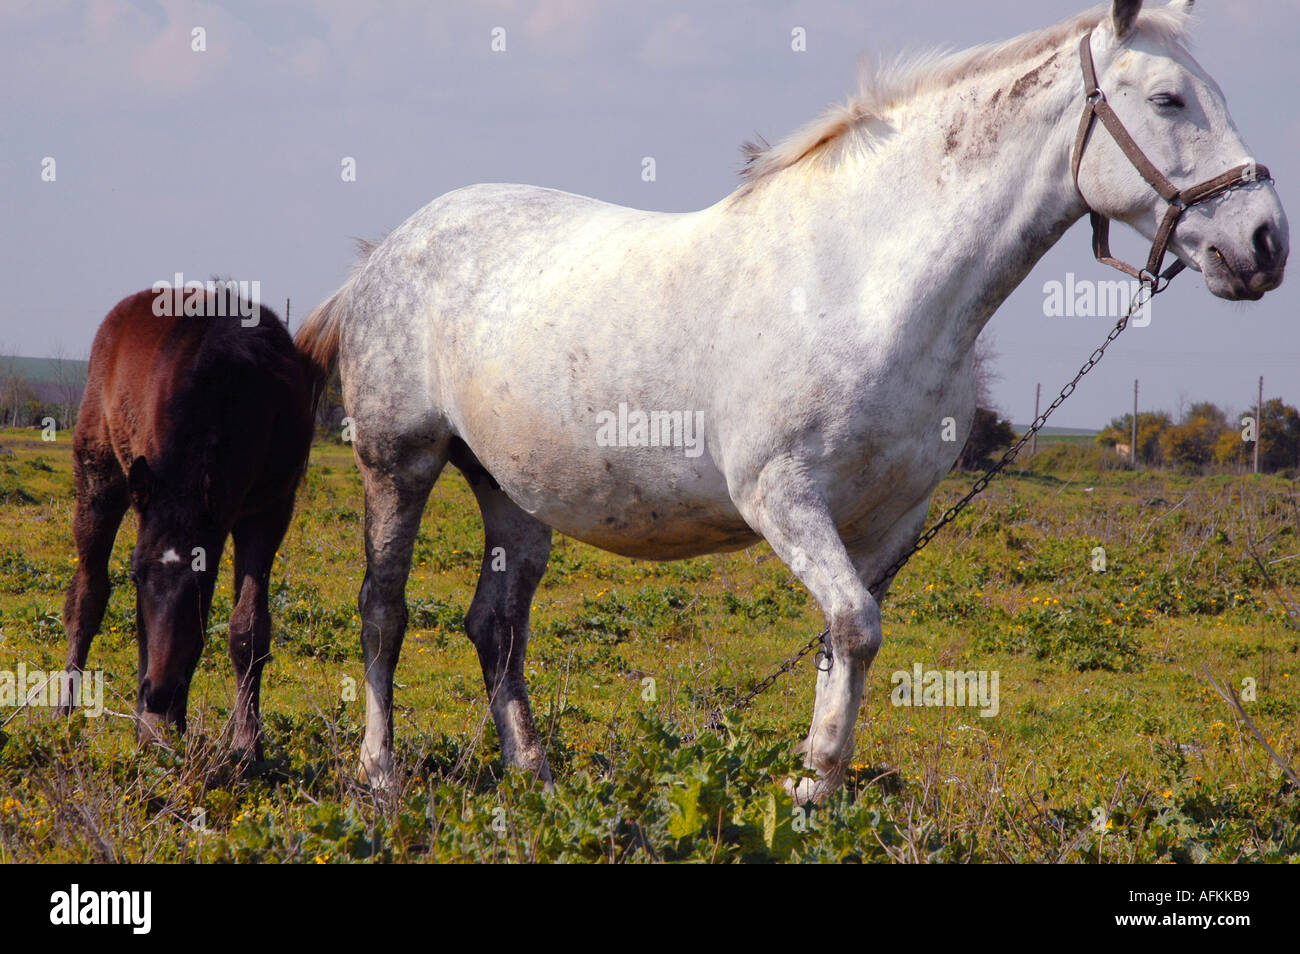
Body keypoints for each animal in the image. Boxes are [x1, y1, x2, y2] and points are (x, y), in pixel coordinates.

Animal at [299, 0, 1284, 805]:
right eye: (1169, 100)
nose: (1265, 242)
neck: (865, 282)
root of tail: (384, 252)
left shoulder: (889, 521)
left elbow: (844, 638)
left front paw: (821, 790)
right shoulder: (784, 498)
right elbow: (853, 625)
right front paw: (810, 782)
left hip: (512, 493)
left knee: (495, 624)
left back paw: (534, 776)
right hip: (398, 461)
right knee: (384, 609)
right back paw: (381, 778)